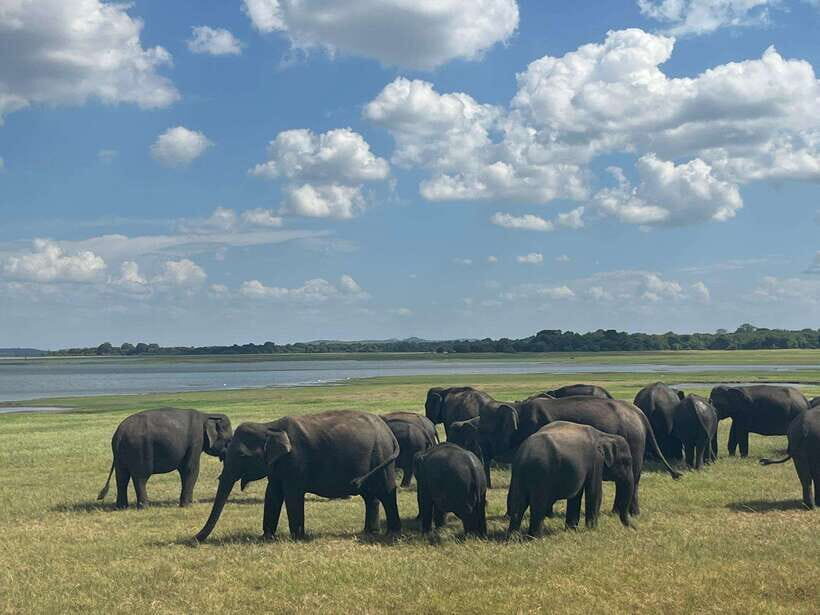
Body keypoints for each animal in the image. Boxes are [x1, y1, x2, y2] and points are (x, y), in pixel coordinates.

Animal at [97, 408, 232, 509]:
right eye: (229, 440)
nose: (219, 477)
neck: (207, 415)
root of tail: (119, 434)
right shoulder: (196, 441)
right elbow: (190, 469)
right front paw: (188, 506)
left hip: (120, 455)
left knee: (122, 477)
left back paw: (122, 507)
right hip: (139, 448)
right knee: (140, 477)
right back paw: (144, 507)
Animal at [195, 410, 401, 541]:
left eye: (242, 456)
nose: (194, 539)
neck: (270, 426)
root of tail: (389, 433)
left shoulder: (295, 461)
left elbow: (292, 494)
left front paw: (298, 538)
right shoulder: (276, 466)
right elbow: (272, 494)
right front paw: (267, 537)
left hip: (381, 456)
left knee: (385, 492)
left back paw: (392, 533)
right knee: (370, 496)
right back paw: (370, 532)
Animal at [478, 395, 681, 516]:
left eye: (483, 431)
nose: (486, 503)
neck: (517, 408)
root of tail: (640, 414)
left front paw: (546, 513)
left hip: (634, 441)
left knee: (633, 478)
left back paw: (626, 513)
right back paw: (622, 512)